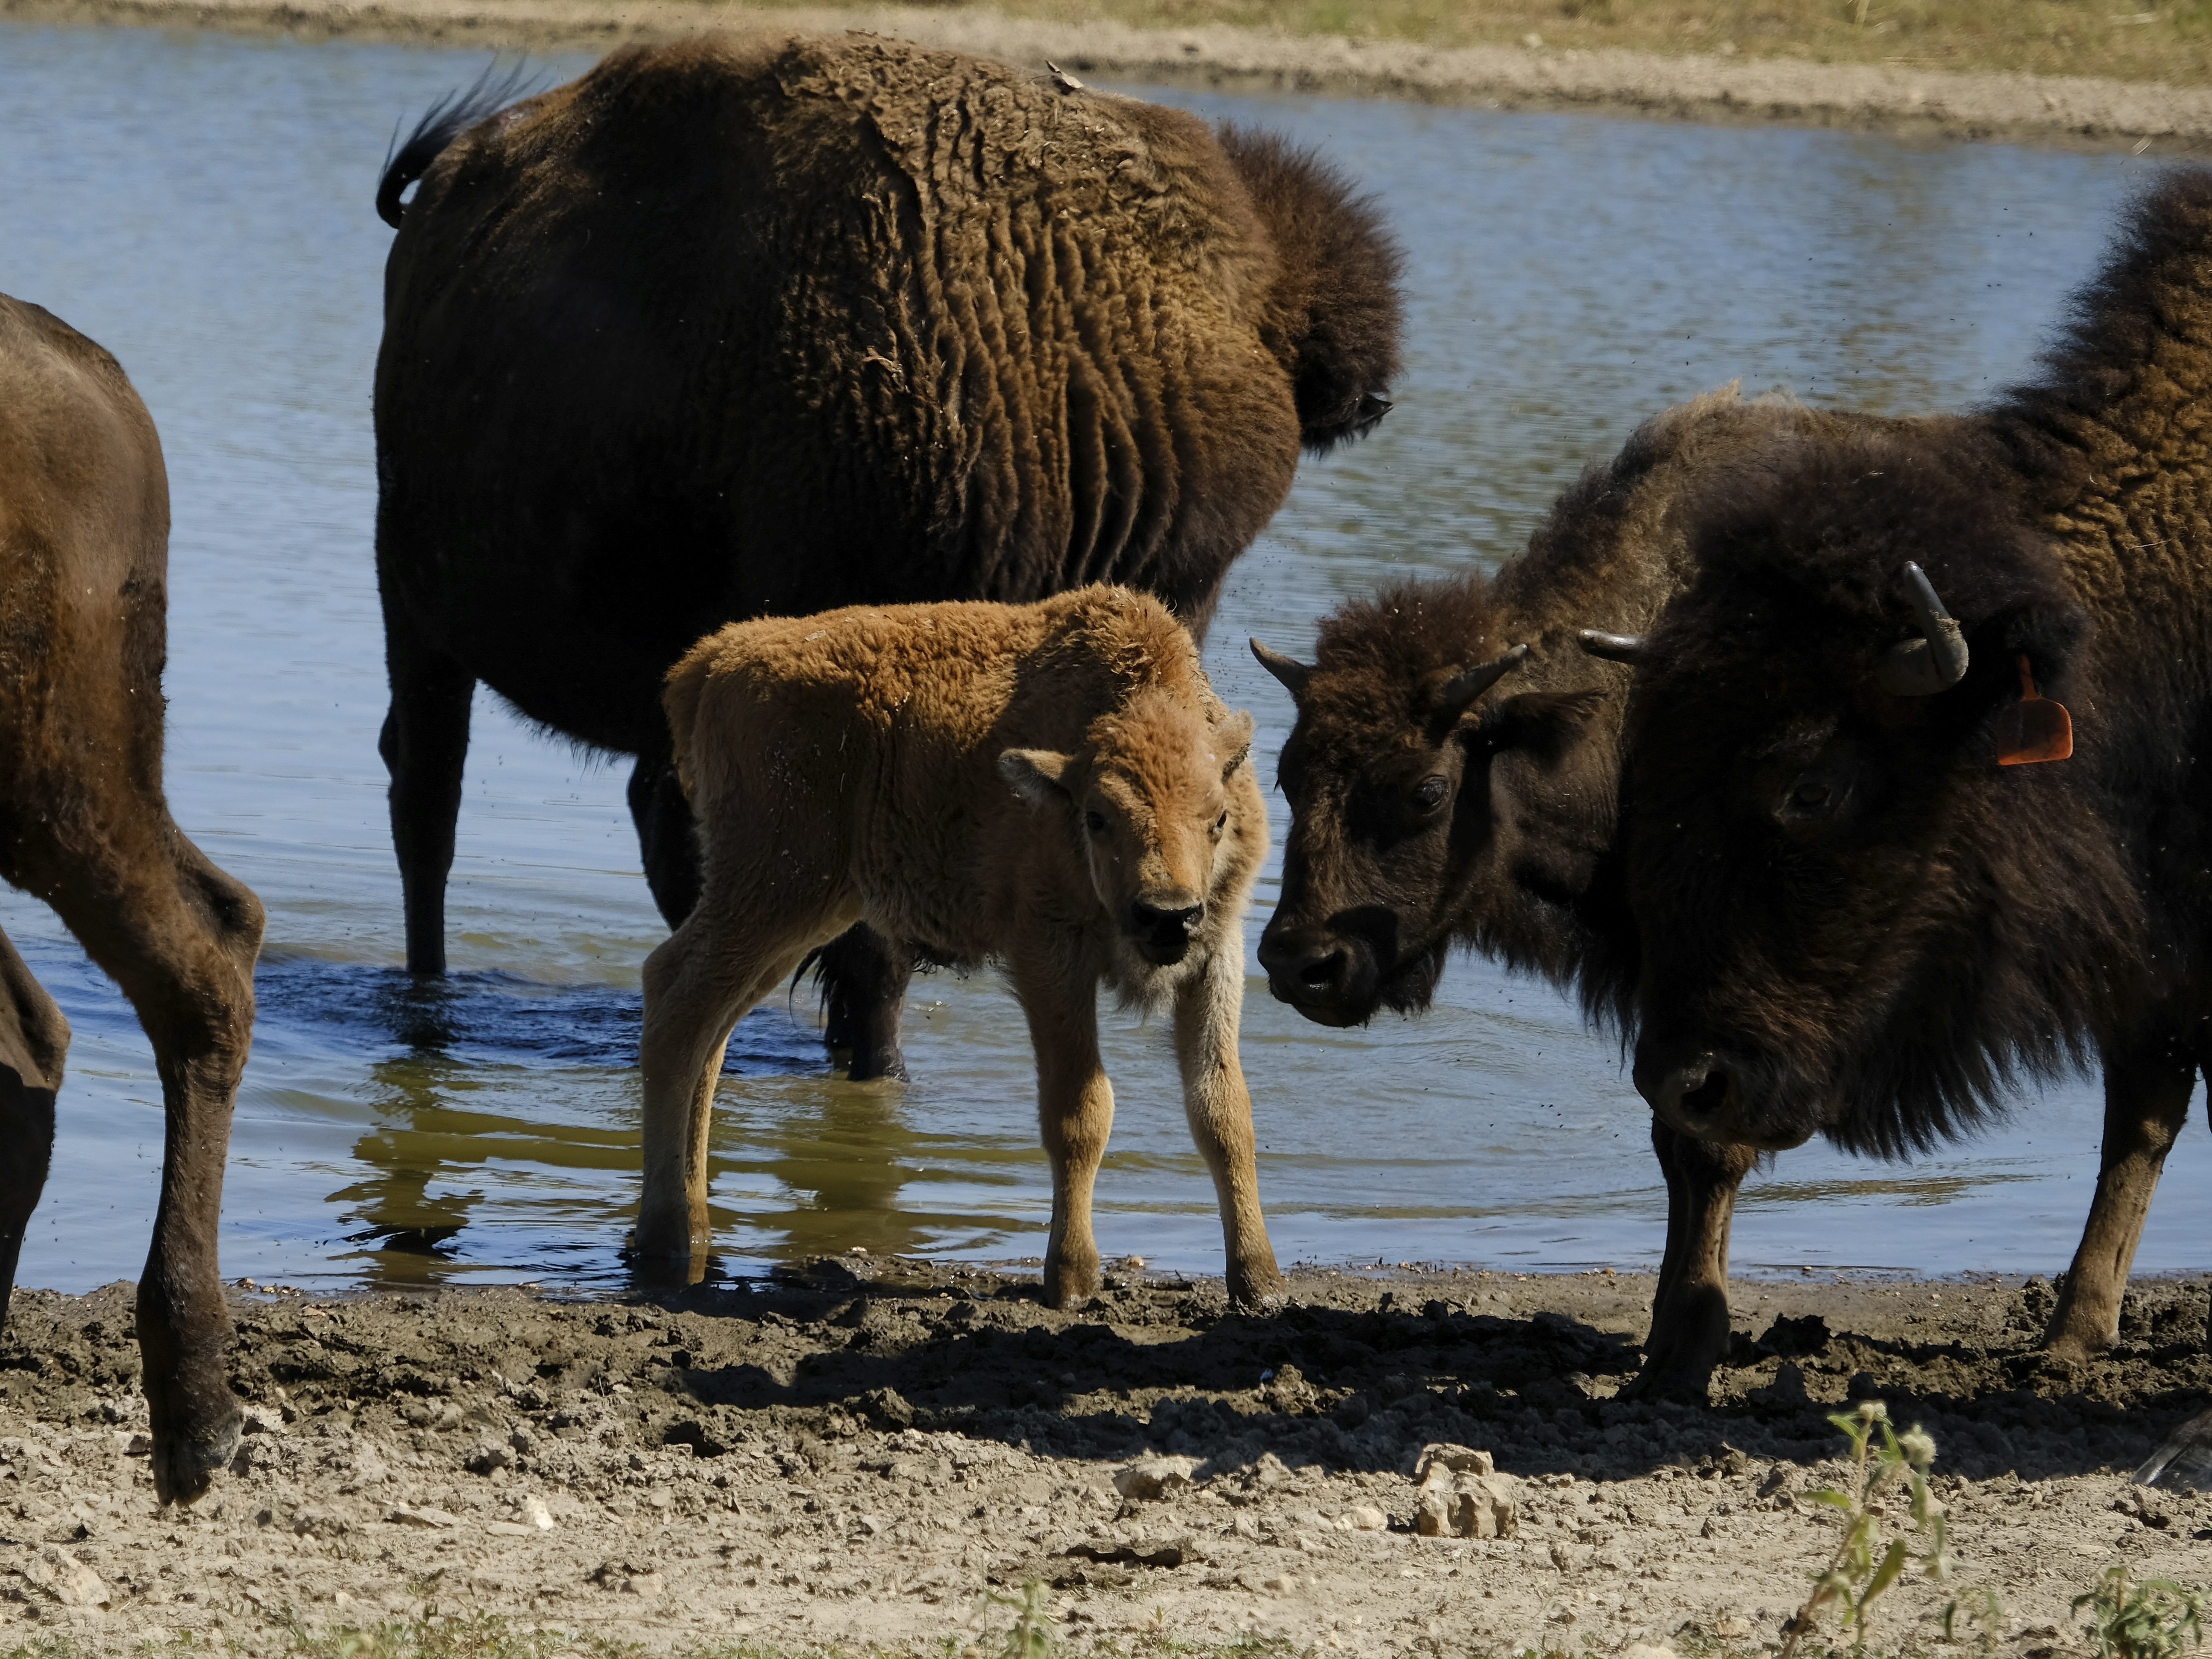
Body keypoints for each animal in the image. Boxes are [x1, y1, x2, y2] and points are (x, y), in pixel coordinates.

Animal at [374, 31, 1401, 1080]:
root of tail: (455, 176)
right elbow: (866, 938)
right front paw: (879, 1077)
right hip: (411, 604)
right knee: (428, 799)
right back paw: (427, 1002)